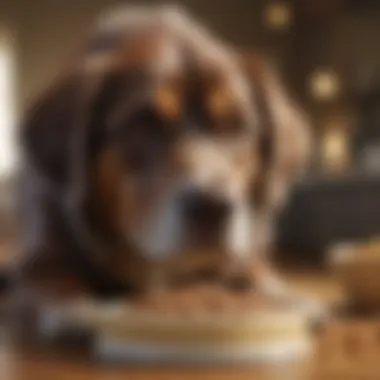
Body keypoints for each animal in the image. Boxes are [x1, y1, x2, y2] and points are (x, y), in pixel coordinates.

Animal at [14, 5, 312, 312]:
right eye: (144, 123)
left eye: (233, 125)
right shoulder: (43, 259)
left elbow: (257, 272)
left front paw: (283, 296)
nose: (212, 207)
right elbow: (60, 288)